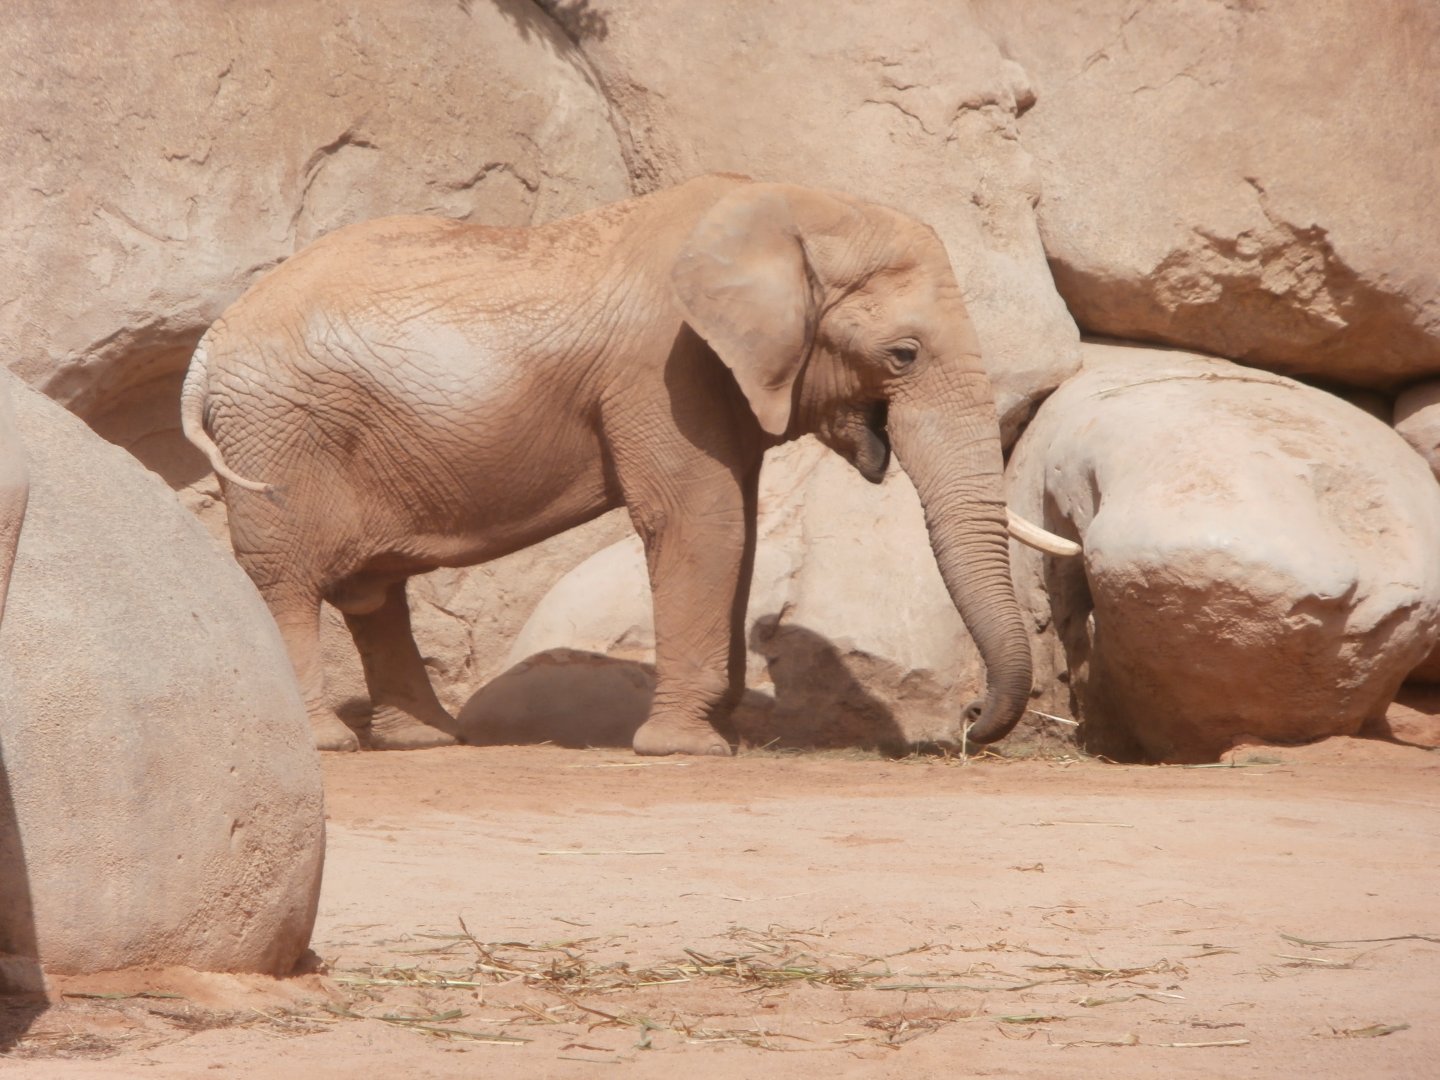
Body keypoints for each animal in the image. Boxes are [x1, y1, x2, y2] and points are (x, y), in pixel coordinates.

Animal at [182, 174, 1076, 754]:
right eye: (903, 353)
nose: (967, 724)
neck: (791, 204)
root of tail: (209, 345)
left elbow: (736, 525)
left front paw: (716, 734)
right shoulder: (662, 367)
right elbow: (702, 522)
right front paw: (689, 750)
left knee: (375, 591)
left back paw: (427, 742)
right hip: (279, 433)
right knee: (289, 580)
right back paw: (326, 743)